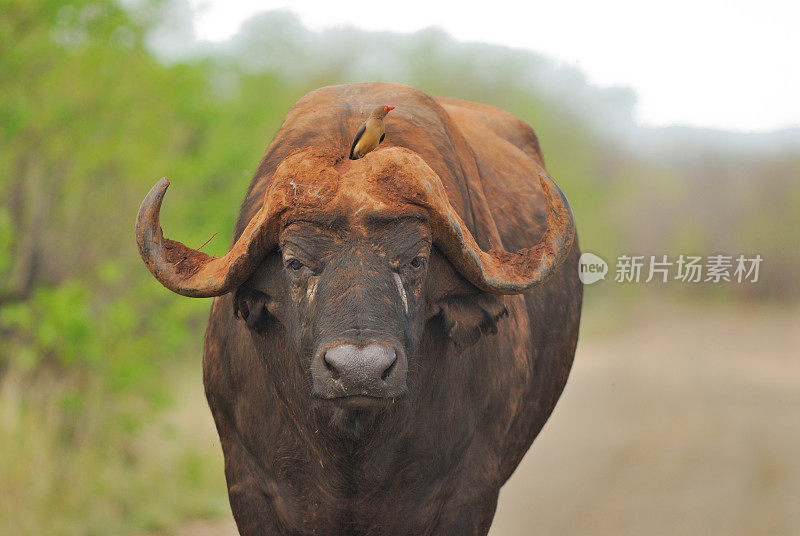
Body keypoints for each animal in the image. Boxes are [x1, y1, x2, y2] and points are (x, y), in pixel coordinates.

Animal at [133, 81, 580, 532]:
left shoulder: (469, 490)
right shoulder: (249, 485)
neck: (352, 450)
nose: (359, 371)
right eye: (294, 262)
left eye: (417, 260)